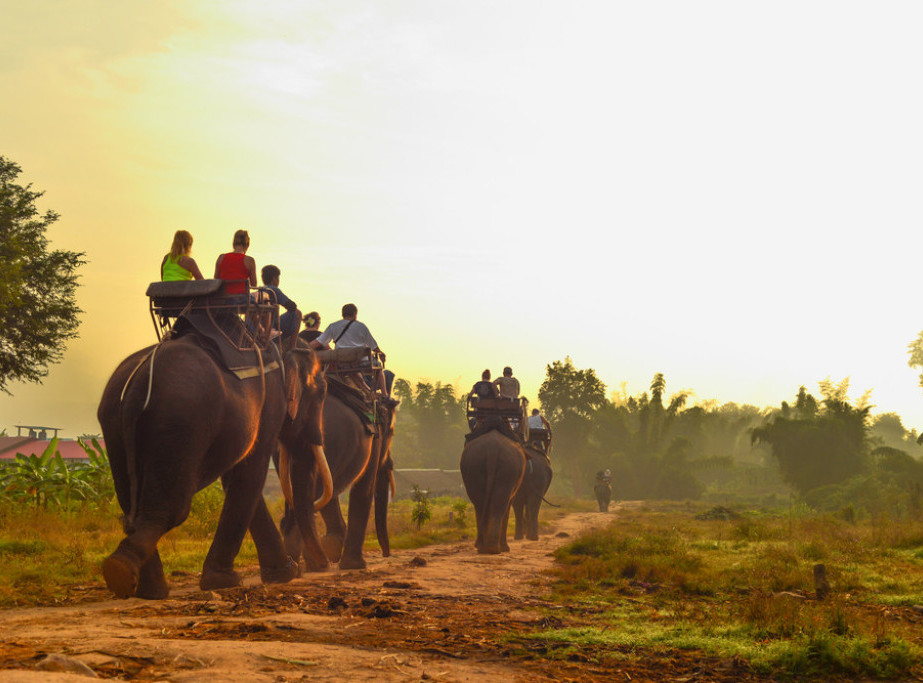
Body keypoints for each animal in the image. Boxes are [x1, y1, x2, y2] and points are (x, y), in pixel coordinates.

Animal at [97, 336, 334, 600]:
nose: (324, 565)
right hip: (181, 421)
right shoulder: (270, 404)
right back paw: (122, 570)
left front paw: (283, 573)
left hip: (114, 423)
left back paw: (146, 590)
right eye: (321, 394)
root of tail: (139, 381)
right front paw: (226, 580)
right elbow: (252, 471)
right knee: (170, 509)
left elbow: (235, 476)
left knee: (130, 505)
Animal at [280, 384, 398, 572]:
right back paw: (315, 563)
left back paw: (303, 564)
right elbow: (364, 488)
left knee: (302, 498)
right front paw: (354, 565)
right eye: (392, 433)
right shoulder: (374, 442)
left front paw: (334, 548)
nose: (387, 554)